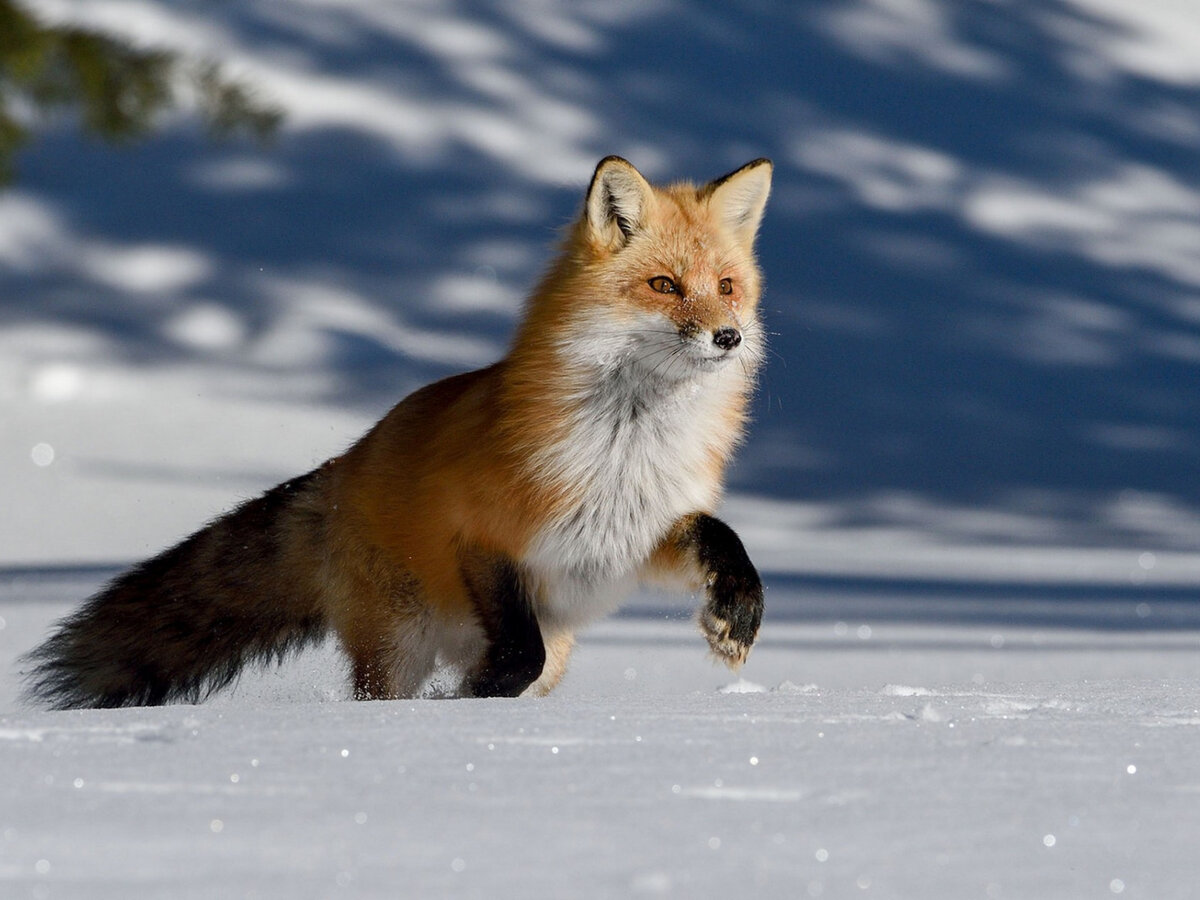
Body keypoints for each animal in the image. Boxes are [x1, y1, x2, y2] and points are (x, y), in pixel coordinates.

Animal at [23, 154, 772, 710]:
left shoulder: (632, 538)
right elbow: (516, 653)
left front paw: (737, 614)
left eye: (726, 286)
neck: (625, 447)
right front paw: (466, 701)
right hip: (397, 643)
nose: (728, 337)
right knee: (389, 691)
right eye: (665, 286)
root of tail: (345, 463)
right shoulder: (481, 537)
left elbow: (720, 535)